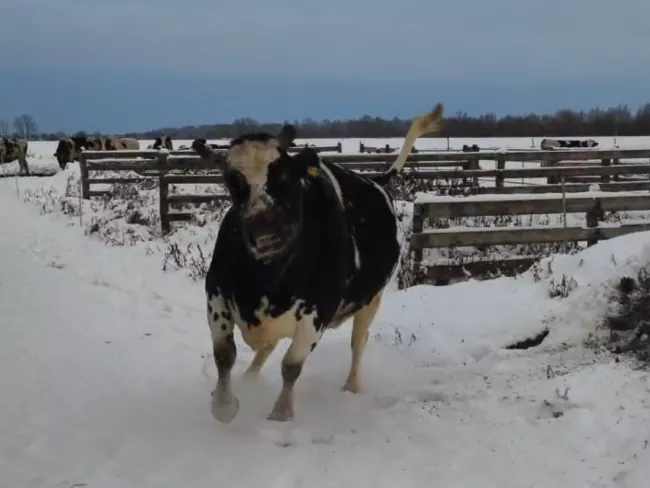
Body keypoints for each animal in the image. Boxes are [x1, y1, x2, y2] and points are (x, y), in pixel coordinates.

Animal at [191, 103, 444, 423]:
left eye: (284, 177)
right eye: (233, 182)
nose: (266, 236)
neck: (267, 280)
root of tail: (377, 181)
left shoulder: (317, 312)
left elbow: (291, 365)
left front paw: (281, 411)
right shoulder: (217, 297)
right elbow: (224, 354)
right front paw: (224, 404)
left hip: (371, 300)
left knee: (357, 342)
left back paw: (352, 385)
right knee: (267, 347)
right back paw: (249, 378)